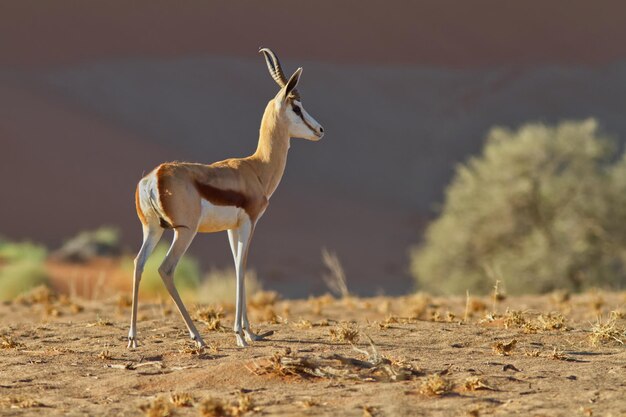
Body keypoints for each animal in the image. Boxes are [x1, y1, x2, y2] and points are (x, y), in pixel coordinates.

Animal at [126, 48, 322, 348]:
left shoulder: (231, 228)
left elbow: (236, 265)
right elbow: (242, 266)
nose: (320, 130)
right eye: (296, 107)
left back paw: (133, 338)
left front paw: (250, 332)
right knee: (165, 269)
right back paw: (198, 337)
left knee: (138, 264)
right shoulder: (250, 222)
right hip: (184, 232)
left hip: (153, 229)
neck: (256, 168)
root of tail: (154, 177)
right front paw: (241, 334)